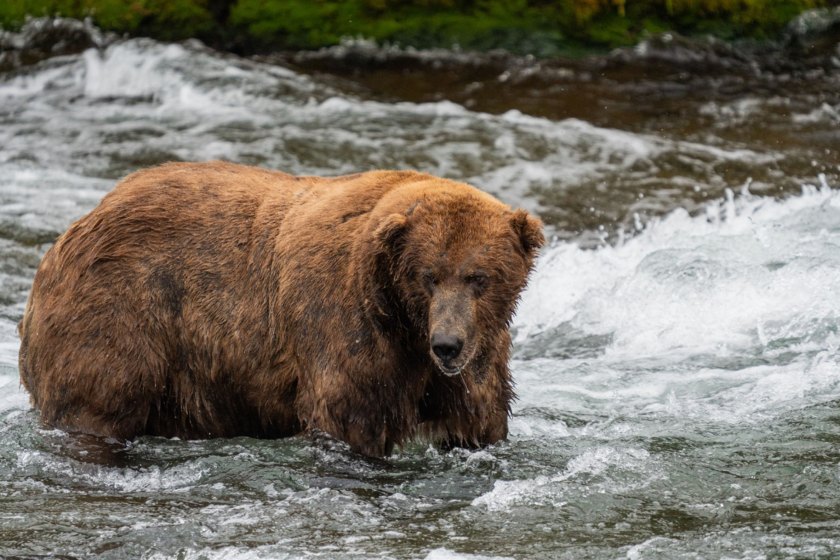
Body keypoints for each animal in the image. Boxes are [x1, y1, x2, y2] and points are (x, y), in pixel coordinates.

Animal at [18, 161, 544, 457]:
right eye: (428, 275)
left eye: (479, 277)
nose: (448, 345)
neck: (402, 324)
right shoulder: (345, 325)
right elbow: (348, 415)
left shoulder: (477, 357)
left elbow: (478, 419)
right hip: (124, 309)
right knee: (98, 397)